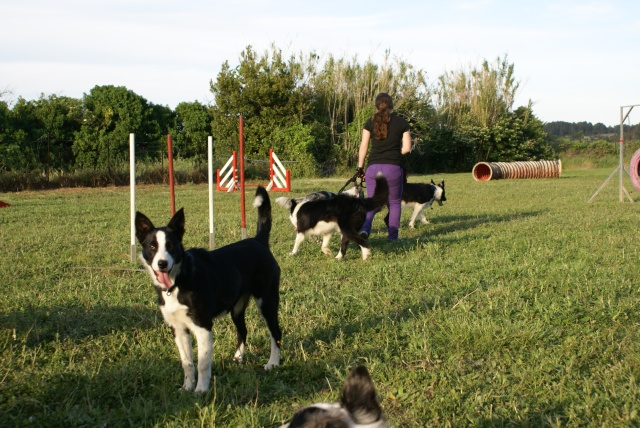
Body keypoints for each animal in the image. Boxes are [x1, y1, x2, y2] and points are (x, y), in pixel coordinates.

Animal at [134, 186, 280, 392]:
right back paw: (238, 358)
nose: (162, 264)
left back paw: (273, 363)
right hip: (237, 308)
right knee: (243, 331)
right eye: (152, 246)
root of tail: (258, 241)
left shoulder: (203, 326)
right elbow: (187, 362)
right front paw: (187, 387)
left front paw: (201, 390)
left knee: (276, 332)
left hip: (267, 301)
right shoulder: (178, 329)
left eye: (171, 246)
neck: (179, 281)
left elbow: (202, 363)